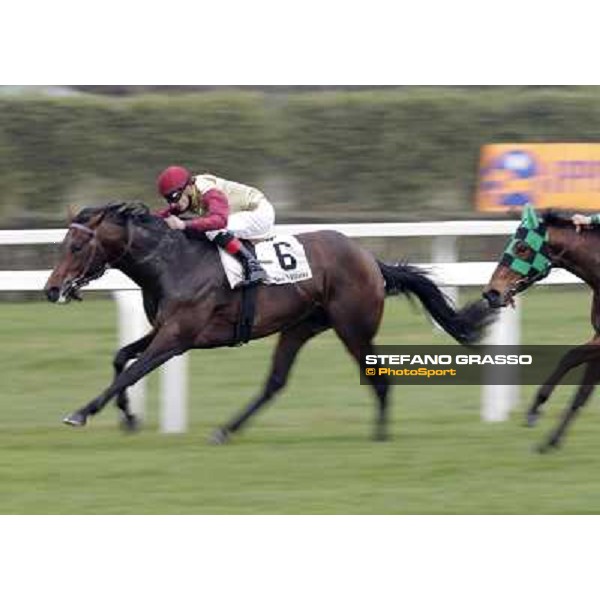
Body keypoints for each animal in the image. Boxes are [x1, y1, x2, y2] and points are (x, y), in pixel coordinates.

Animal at [43, 202, 492, 440]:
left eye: (77, 246)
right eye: (62, 243)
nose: (51, 289)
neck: (171, 262)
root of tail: (369, 258)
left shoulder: (178, 336)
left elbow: (131, 371)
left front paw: (82, 412)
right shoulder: (166, 330)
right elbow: (122, 357)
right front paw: (129, 417)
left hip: (353, 327)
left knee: (379, 378)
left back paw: (380, 435)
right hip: (300, 326)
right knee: (275, 382)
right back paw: (226, 430)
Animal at [482, 204, 600, 452]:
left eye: (522, 247)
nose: (491, 293)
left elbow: (569, 356)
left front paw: (535, 408)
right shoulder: (599, 336)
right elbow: (582, 394)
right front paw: (550, 441)